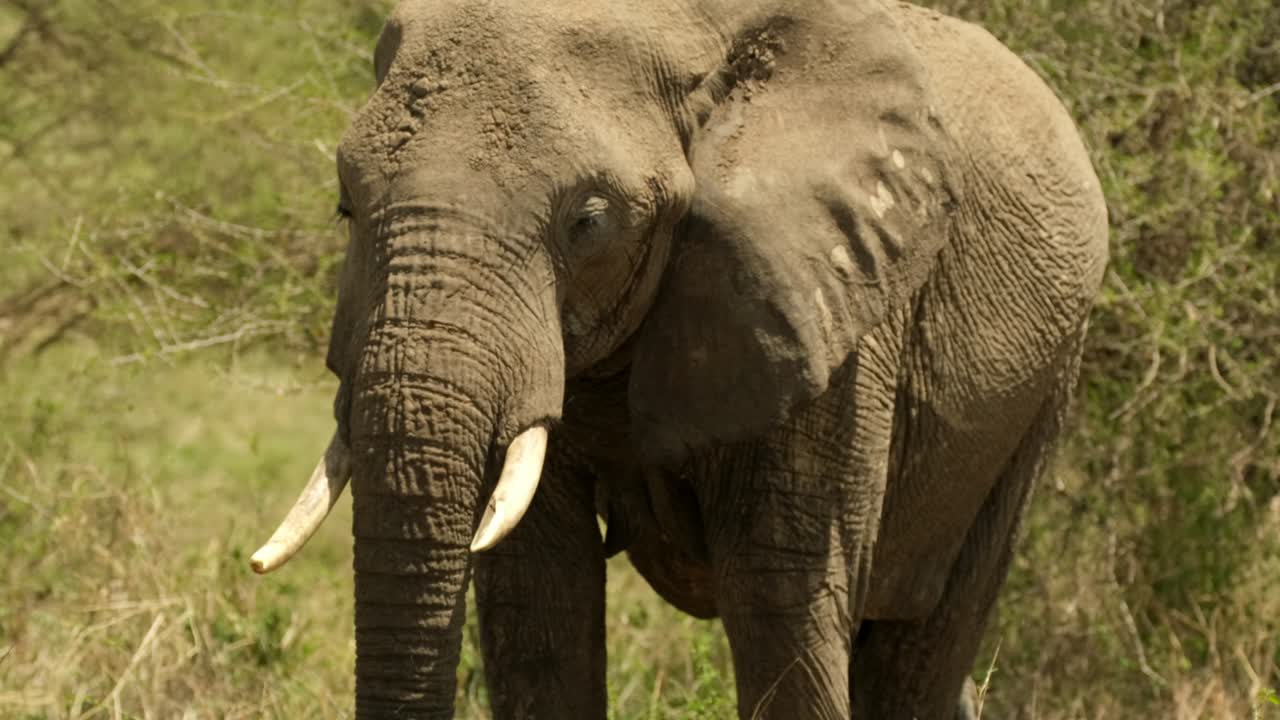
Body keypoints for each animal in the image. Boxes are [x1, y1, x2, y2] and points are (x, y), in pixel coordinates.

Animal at [249, 0, 1108, 717]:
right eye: (346, 206)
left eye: (590, 222)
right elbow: (537, 599)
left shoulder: (835, 306)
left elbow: (779, 594)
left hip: (1040, 392)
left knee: (918, 654)